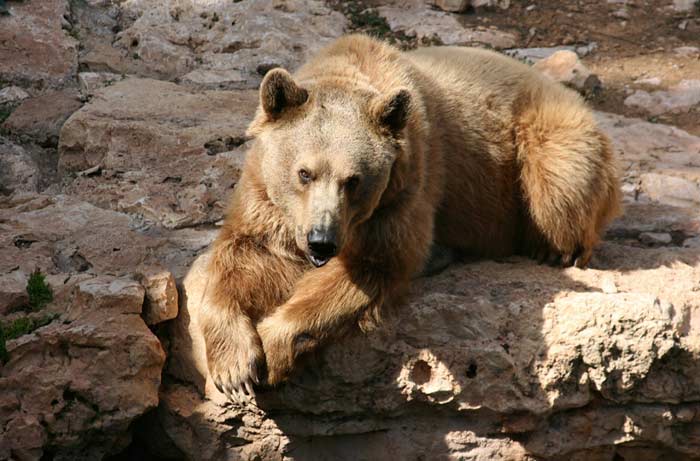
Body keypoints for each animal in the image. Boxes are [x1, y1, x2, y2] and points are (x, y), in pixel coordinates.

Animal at [200, 33, 620, 398]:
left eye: (353, 180)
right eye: (304, 173)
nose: (322, 241)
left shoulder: (402, 193)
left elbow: (372, 268)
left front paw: (271, 349)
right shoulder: (265, 199)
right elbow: (244, 255)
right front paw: (235, 367)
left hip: (547, 139)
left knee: (559, 187)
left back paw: (553, 249)